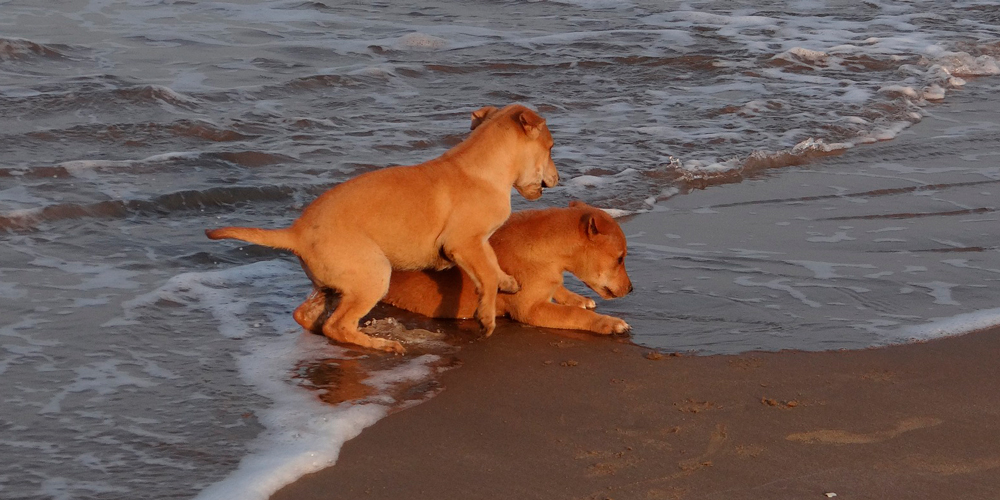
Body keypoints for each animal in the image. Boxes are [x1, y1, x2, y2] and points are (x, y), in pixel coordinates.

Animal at [207, 104, 560, 356]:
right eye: (551, 148)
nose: (558, 179)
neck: (483, 166)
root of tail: (295, 233)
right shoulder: (463, 243)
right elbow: (484, 275)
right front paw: (486, 317)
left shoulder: (477, 242)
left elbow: (491, 264)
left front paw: (508, 282)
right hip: (374, 272)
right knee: (339, 325)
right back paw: (381, 344)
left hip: (334, 282)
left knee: (308, 315)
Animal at [292, 202, 632, 336]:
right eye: (620, 258)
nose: (632, 289)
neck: (547, 250)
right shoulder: (531, 310)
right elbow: (575, 316)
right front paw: (609, 323)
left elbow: (562, 291)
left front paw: (577, 297)